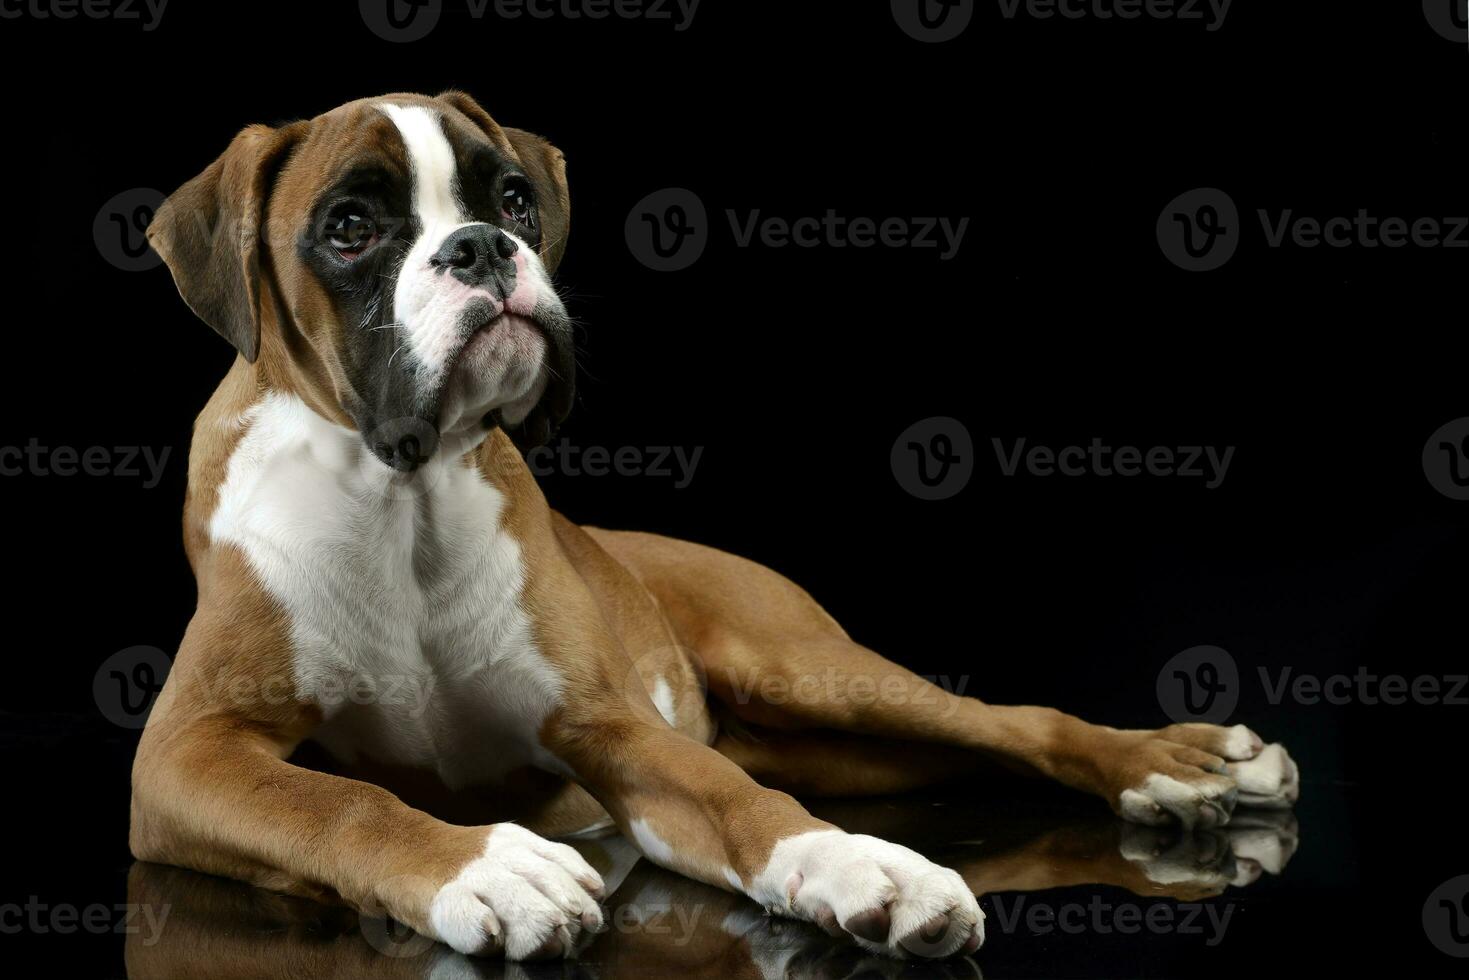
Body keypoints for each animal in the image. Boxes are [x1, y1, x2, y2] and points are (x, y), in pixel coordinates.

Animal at [129, 91, 1298, 963]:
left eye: (512, 197)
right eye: (351, 227)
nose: (482, 247)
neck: (400, 494)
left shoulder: (609, 728)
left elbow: (737, 800)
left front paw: (862, 864)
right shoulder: (188, 756)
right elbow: (337, 801)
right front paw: (486, 864)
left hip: (812, 671)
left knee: (1009, 723)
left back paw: (1180, 766)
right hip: (841, 742)